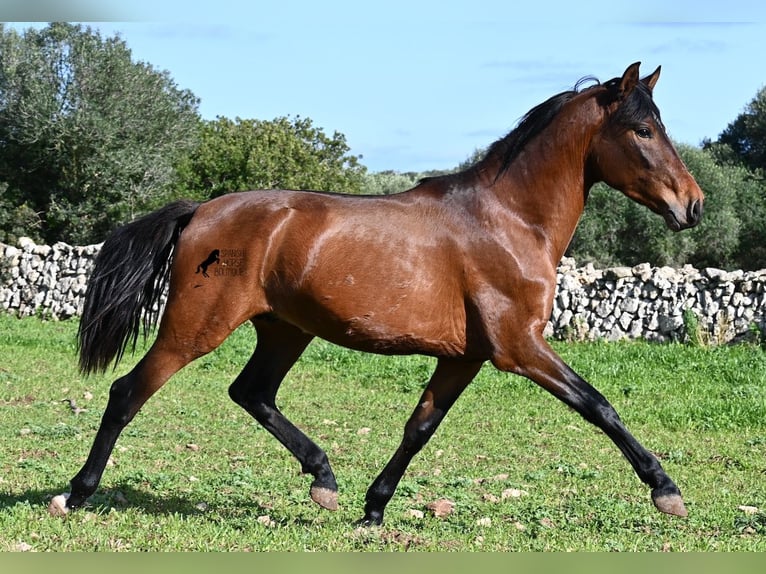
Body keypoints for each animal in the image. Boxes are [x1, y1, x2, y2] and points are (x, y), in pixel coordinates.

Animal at [49, 63, 708, 528]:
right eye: (642, 129)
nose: (693, 205)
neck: (509, 220)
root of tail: (201, 212)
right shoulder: (518, 347)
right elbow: (599, 406)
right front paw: (667, 491)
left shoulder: (464, 357)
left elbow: (419, 428)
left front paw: (374, 508)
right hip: (195, 326)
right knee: (128, 392)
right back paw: (77, 493)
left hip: (285, 330)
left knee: (251, 392)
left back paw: (324, 480)